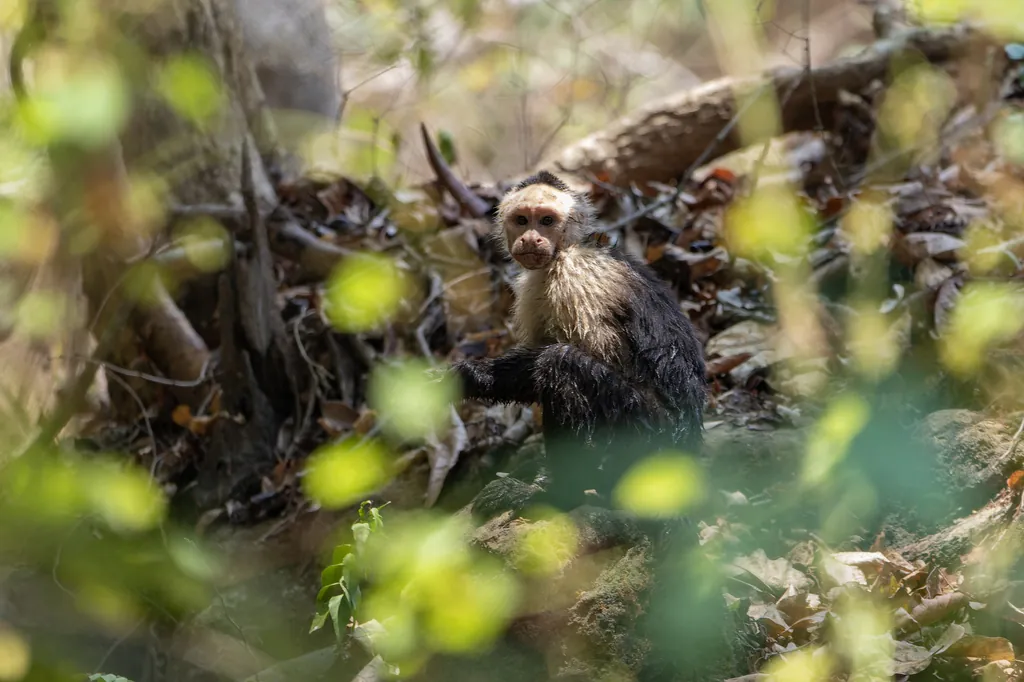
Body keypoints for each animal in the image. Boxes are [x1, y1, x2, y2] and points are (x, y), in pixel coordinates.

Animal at [447, 170, 707, 513]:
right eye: (522, 220)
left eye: (546, 220)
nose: (531, 238)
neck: (567, 249)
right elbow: (529, 377)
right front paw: (468, 376)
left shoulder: (573, 280)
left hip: (650, 439)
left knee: (560, 363)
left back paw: (564, 495)